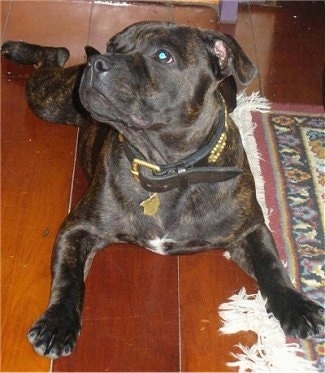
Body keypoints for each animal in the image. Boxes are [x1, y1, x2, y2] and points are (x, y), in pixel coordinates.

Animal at [1, 20, 322, 358]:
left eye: (162, 56)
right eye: (113, 46)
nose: (99, 61)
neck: (168, 167)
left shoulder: (250, 230)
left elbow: (271, 265)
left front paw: (296, 305)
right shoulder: (77, 228)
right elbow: (68, 277)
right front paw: (58, 322)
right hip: (51, 101)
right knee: (53, 58)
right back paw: (20, 48)